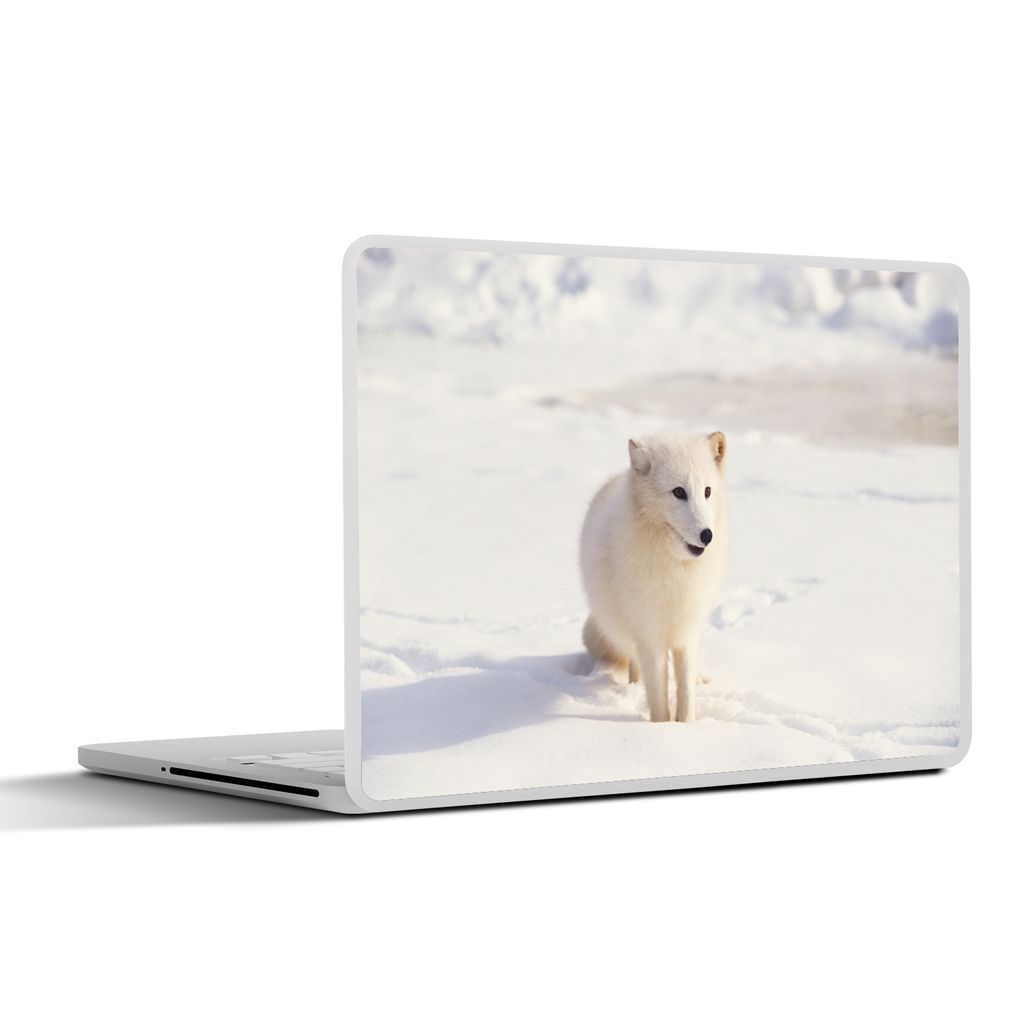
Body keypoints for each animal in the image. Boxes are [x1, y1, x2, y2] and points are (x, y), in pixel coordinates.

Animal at [579, 431, 729, 723]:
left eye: (707, 492)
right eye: (679, 492)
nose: (707, 535)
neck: (676, 571)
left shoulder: (687, 631)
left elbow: (685, 689)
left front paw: (687, 724)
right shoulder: (649, 637)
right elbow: (658, 694)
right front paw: (661, 727)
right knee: (635, 665)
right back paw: (635, 685)